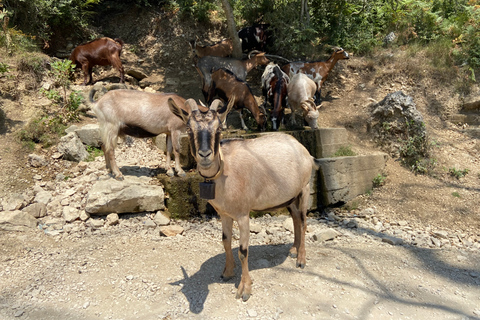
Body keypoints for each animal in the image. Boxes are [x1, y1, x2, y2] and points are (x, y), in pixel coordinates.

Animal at [167, 96, 320, 302]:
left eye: (219, 128)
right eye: (189, 129)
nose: (205, 155)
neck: (225, 170)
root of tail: (305, 152)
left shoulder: (242, 214)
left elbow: (243, 250)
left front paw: (244, 289)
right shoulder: (224, 213)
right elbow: (225, 241)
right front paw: (227, 273)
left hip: (304, 188)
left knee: (303, 222)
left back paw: (301, 260)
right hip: (290, 196)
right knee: (296, 218)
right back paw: (294, 250)